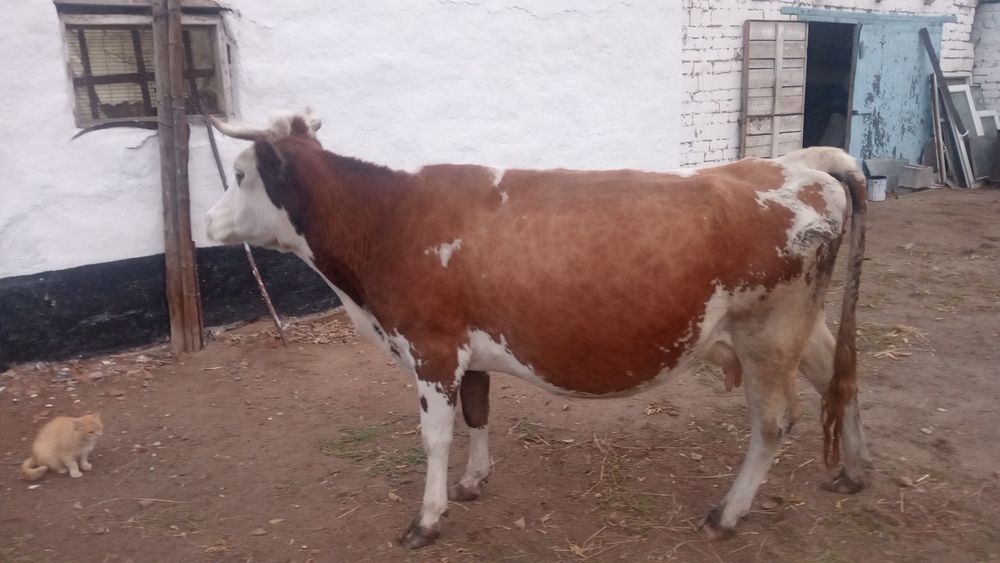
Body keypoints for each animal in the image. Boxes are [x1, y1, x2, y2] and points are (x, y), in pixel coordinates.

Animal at [205, 111, 870, 549]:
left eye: (238, 175)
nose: (208, 223)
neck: (386, 219)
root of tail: (798, 164)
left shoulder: (431, 346)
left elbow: (435, 437)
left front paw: (427, 519)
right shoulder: (467, 350)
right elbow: (477, 413)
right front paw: (474, 481)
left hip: (768, 335)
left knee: (774, 422)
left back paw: (729, 513)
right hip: (801, 329)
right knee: (842, 380)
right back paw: (854, 471)